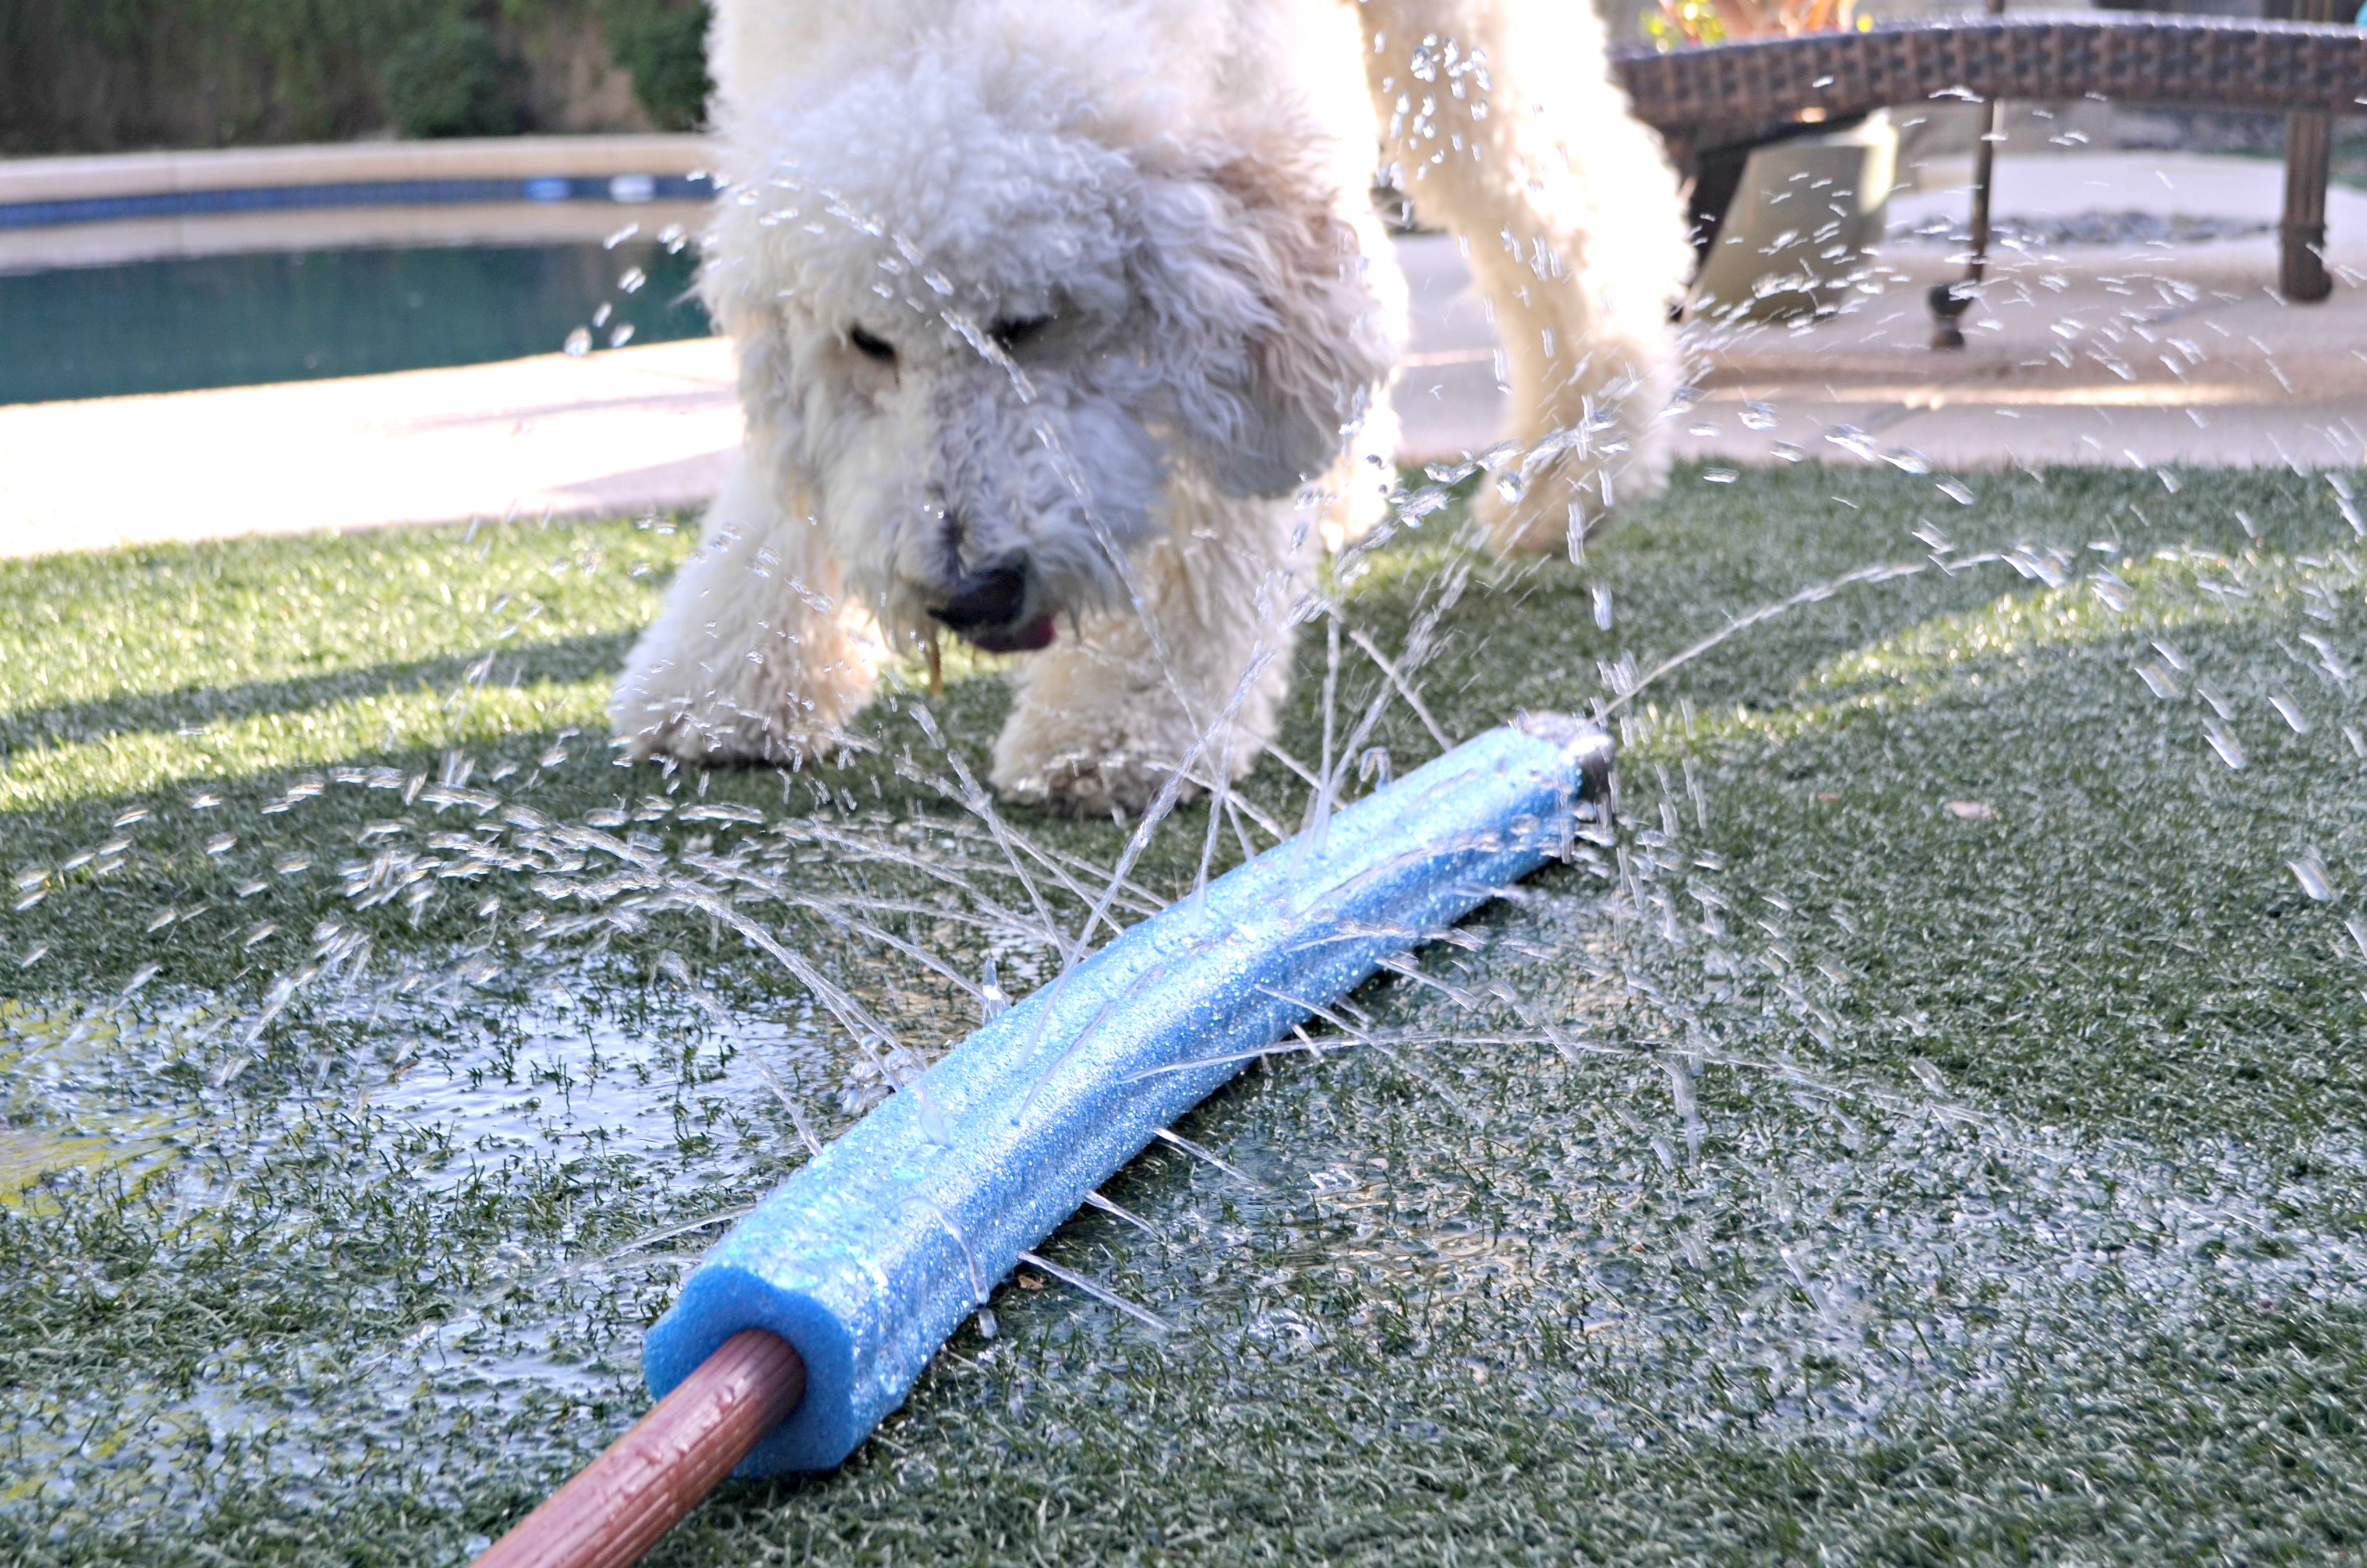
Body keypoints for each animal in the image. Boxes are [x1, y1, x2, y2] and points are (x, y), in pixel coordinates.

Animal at [610, 0, 1685, 810]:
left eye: (1027, 323)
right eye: (868, 343)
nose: (972, 593)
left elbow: (1214, 482)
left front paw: (1117, 726)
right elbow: (782, 480)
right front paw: (725, 681)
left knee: (1565, 194)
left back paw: (1574, 472)